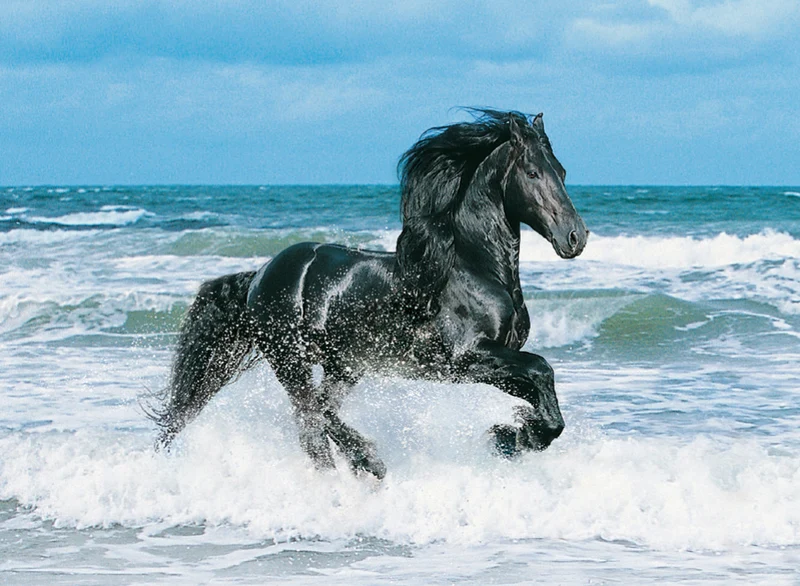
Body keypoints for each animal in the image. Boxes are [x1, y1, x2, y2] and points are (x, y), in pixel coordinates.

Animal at [149, 109, 588, 479]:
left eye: (563, 171)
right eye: (532, 172)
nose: (575, 237)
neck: (472, 268)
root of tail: (260, 275)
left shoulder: (493, 362)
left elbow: (542, 392)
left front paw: (511, 436)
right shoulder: (466, 358)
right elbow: (542, 369)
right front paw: (512, 437)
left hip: (344, 367)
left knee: (320, 413)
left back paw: (357, 465)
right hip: (290, 360)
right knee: (310, 418)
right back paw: (357, 468)